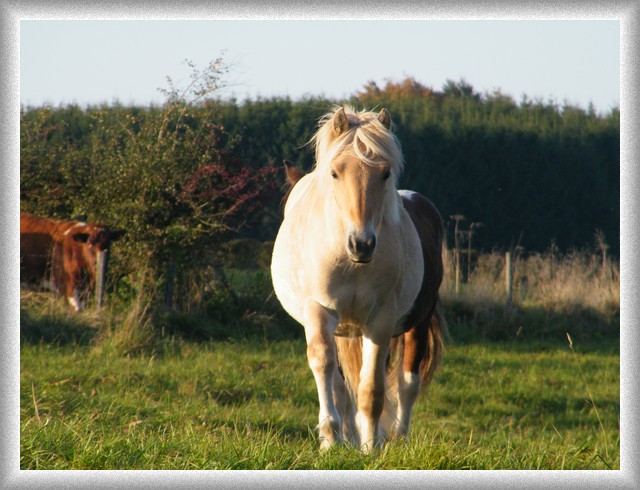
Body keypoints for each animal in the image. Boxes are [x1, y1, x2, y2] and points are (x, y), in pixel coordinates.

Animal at [270, 107, 444, 452]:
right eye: (335, 173)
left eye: (385, 174)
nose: (361, 244)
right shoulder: (320, 312)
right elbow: (328, 371)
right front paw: (332, 439)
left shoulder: (380, 321)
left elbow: (371, 388)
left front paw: (370, 447)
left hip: (417, 322)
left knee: (407, 383)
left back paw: (396, 439)